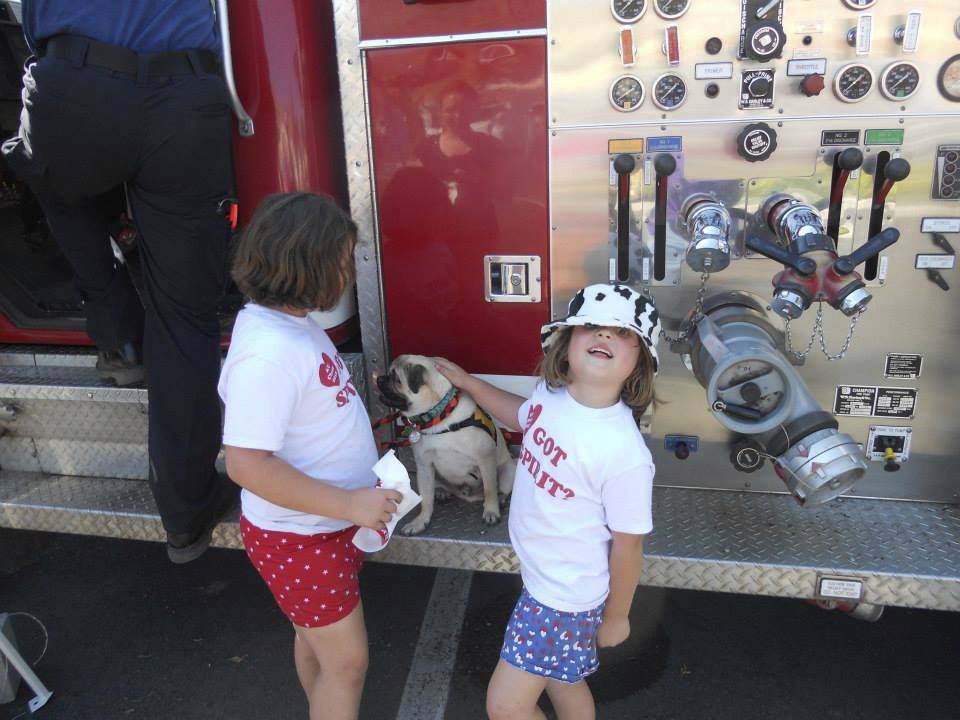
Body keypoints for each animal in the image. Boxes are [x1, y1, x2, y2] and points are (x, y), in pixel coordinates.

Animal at [376, 354, 512, 536]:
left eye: (396, 379)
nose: (380, 378)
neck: (438, 417)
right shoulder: (424, 466)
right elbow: (426, 499)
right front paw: (421, 521)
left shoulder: (485, 458)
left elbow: (490, 490)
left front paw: (491, 511)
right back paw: (441, 492)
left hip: (508, 470)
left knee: (499, 488)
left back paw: (501, 498)